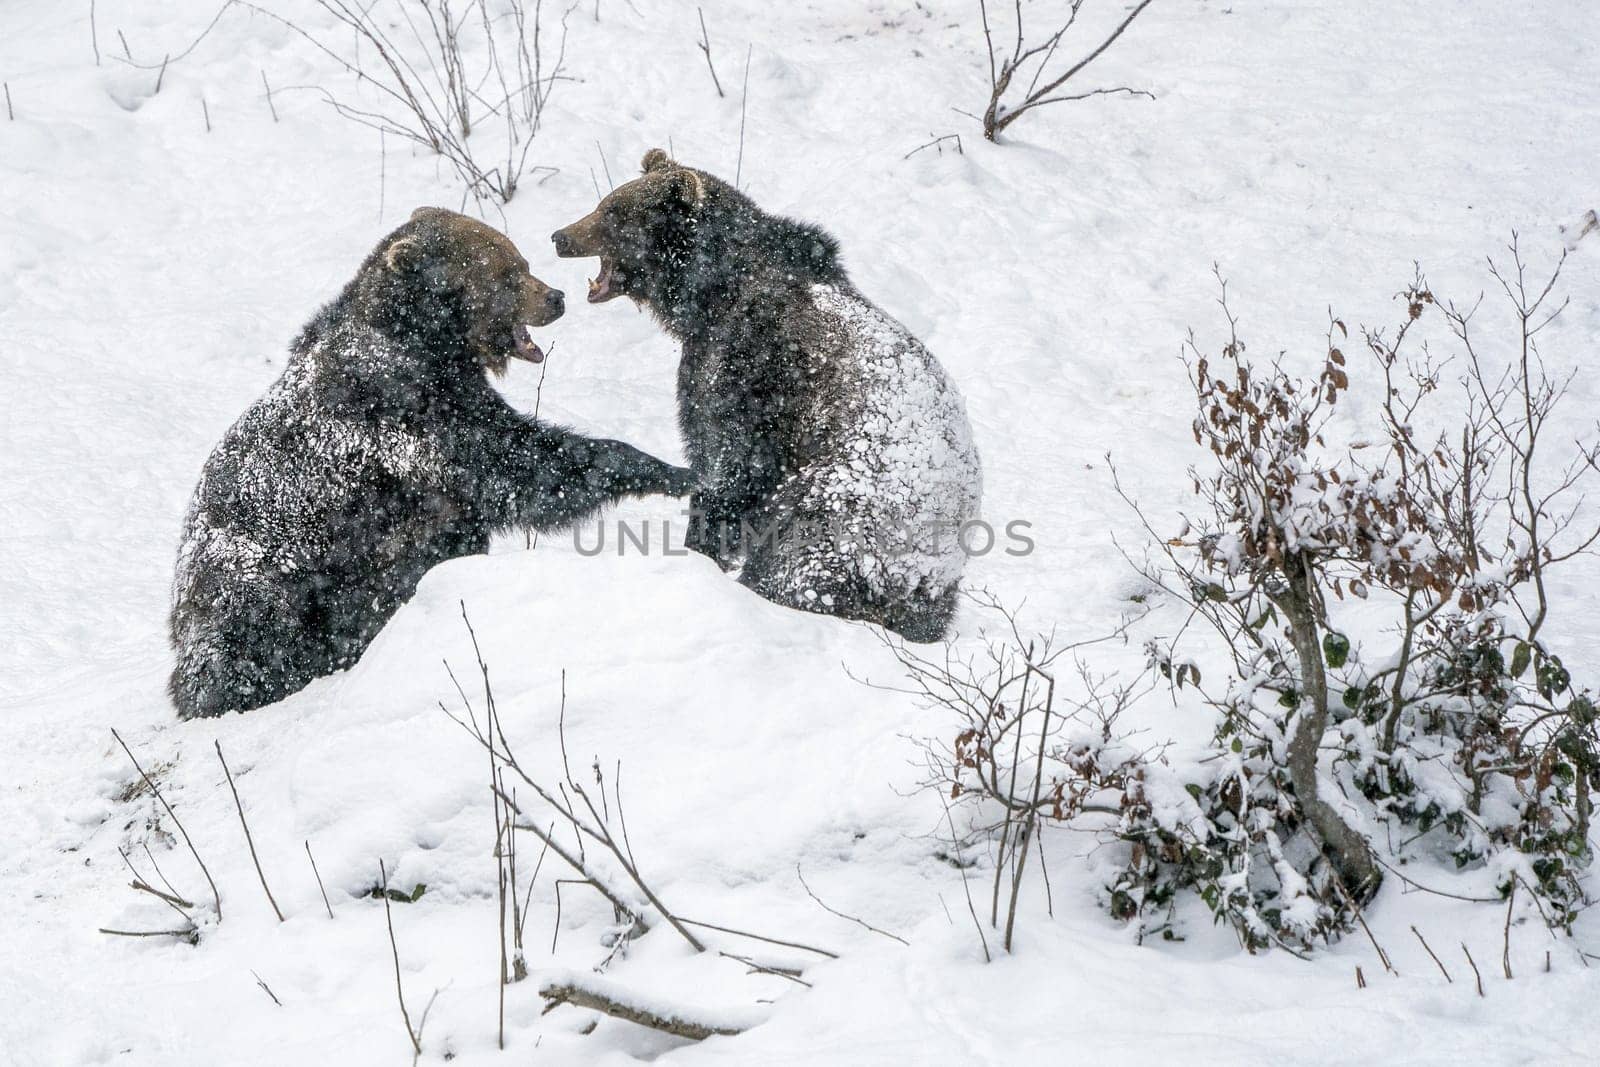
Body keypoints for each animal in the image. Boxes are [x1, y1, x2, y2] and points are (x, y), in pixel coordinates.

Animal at [170, 207, 694, 716]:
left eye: (521, 261)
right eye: (505, 272)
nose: (555, 297)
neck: (427, 342)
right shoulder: (405, 412)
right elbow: (519, 463)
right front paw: (671, 470)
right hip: (264, 578)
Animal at [550, 150, 979, 643]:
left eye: (614, 212)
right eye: (604, 202)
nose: (560, 236)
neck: (710, 293)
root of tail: (922, 578)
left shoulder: (752, 367)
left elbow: (729, 460)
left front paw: (702, 545)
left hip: (841, 511)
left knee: (797, 565)